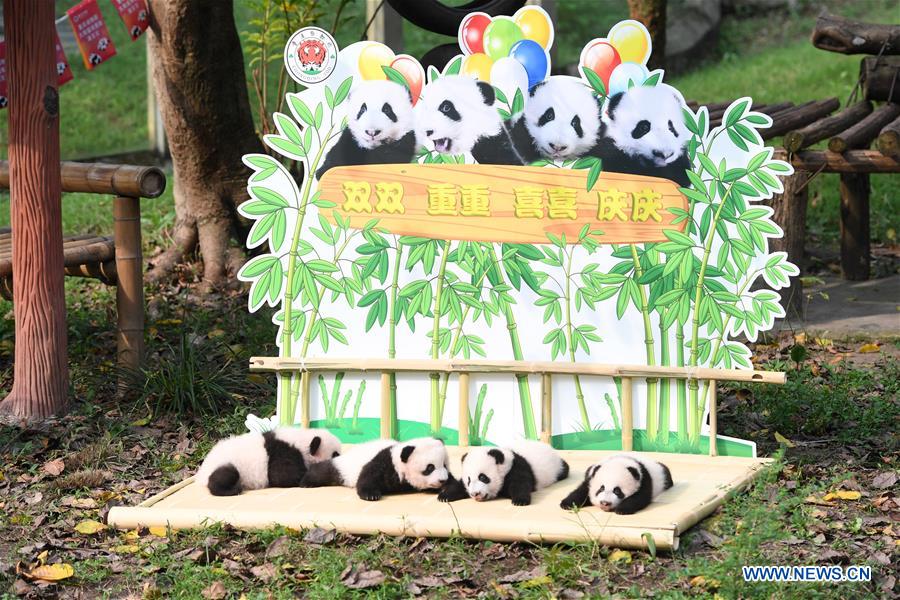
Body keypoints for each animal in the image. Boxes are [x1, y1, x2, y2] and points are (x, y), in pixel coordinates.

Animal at [195, 427, 341, 496]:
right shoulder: (283, 453)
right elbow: (283, 476)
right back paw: (233, 489)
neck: (302, 440)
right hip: (226, 463)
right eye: (335, 454)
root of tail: (201, 474)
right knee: (224, 476)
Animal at [301, 437, 452, 501]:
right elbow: (368, 476)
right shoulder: (384, 463)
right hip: (342, 467)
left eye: (444, 465)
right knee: (324, 471)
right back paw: (306, 482)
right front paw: (371, 495)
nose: (442, 480)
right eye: (430, 468)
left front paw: (445, 494)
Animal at [438, 440, 569, 506]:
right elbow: (459, 485)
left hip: (556, 467)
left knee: (564, 469)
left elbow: (520, 483)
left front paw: (520, 500)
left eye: (483, 477)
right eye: (469, 480)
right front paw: (444, 496)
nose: (475, 494)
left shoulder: (516, 467)